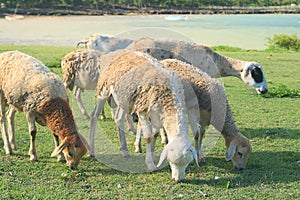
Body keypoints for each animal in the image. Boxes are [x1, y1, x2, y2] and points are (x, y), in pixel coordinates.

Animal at [89, 49, 198, 181]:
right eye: (172, 162)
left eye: (187, 163)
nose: (178, 180)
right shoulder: (142, 110)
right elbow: (148, 136)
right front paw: (150, 164)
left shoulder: (157, 115)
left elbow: (155, 134)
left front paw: (152, 156)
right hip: (103, 90)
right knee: (94, 116)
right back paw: (91, 150)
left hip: (124, 98)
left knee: (119, 119)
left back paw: (125, 150)